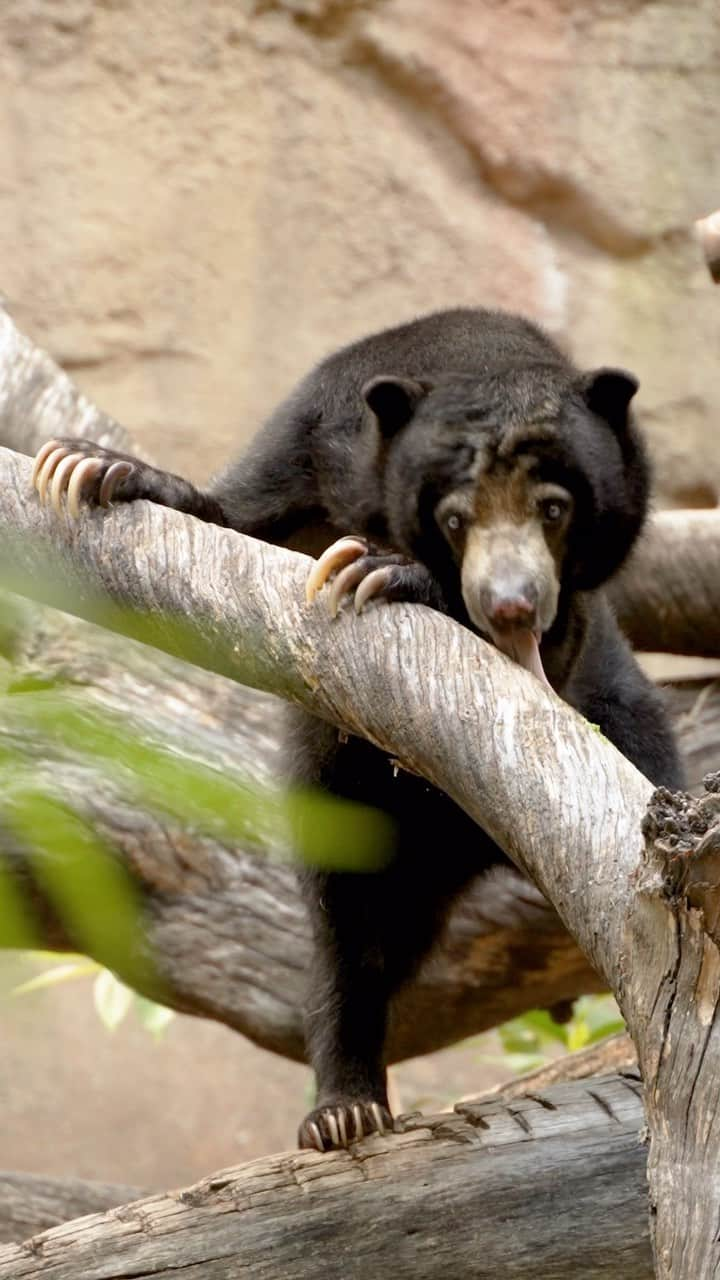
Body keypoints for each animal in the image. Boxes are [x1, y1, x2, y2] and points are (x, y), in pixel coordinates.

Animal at [32, 307, 676, 1152]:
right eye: (455, 517)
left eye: (554, 509)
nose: (509, 605)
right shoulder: (309, 437)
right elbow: (234, 513)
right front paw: (91, 468)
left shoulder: (581, 616)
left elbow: (555, 654)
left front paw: (387, 571)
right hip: (360, 805)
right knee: (354, 933)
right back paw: (344, 1110)